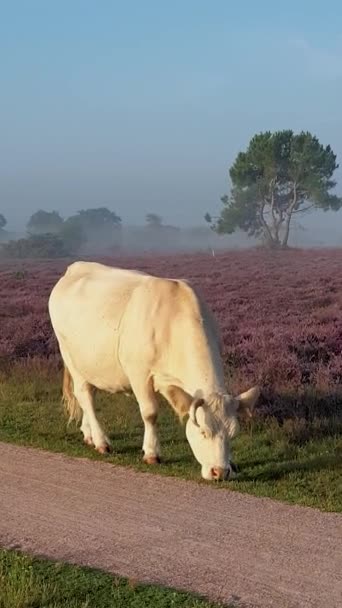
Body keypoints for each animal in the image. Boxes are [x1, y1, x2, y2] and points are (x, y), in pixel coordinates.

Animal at [46, 262, 258, 480]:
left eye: (233, 434)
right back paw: (101, 441)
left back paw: (88, 434)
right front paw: (151, 453)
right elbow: (150, 413)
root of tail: (76, 267)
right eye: (203, 432)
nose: (220, 472)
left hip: (89, 364)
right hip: (69, 356)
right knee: (84, 395)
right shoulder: (139, 373)